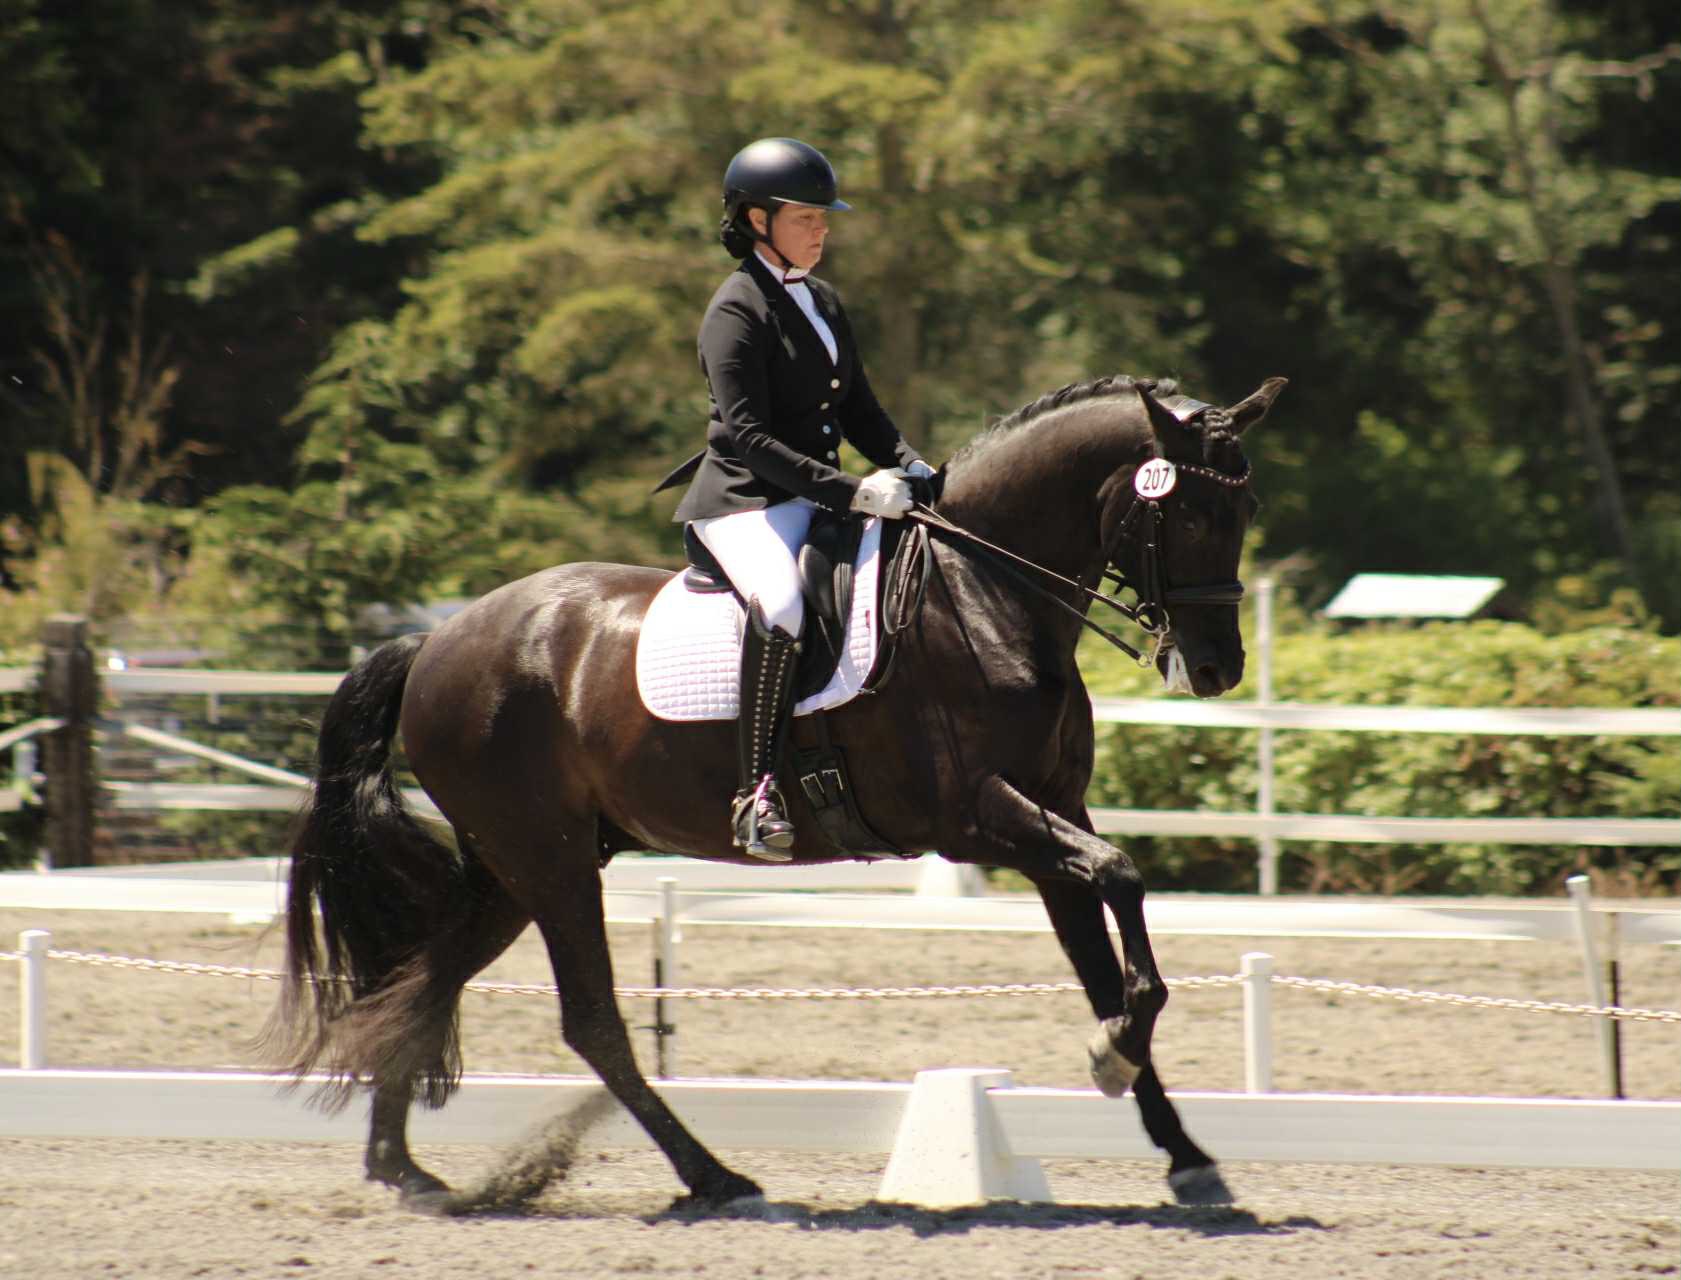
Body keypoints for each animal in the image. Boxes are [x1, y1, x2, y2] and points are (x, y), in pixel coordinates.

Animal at [266, 372, 1286, 1211]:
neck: (983, 592)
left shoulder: (1049, 818)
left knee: (419, 984)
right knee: (587, 1021)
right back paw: (714, 1178)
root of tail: (434, 640)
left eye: (1242, 510)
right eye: (1187, 512)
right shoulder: (977, 818)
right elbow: (1120, 879)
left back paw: (402, 1169)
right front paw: (1114, 1056)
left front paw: (1182, 1150)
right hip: (548, 866)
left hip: (512, 870)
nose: (1214, 669)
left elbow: (1105, 955)